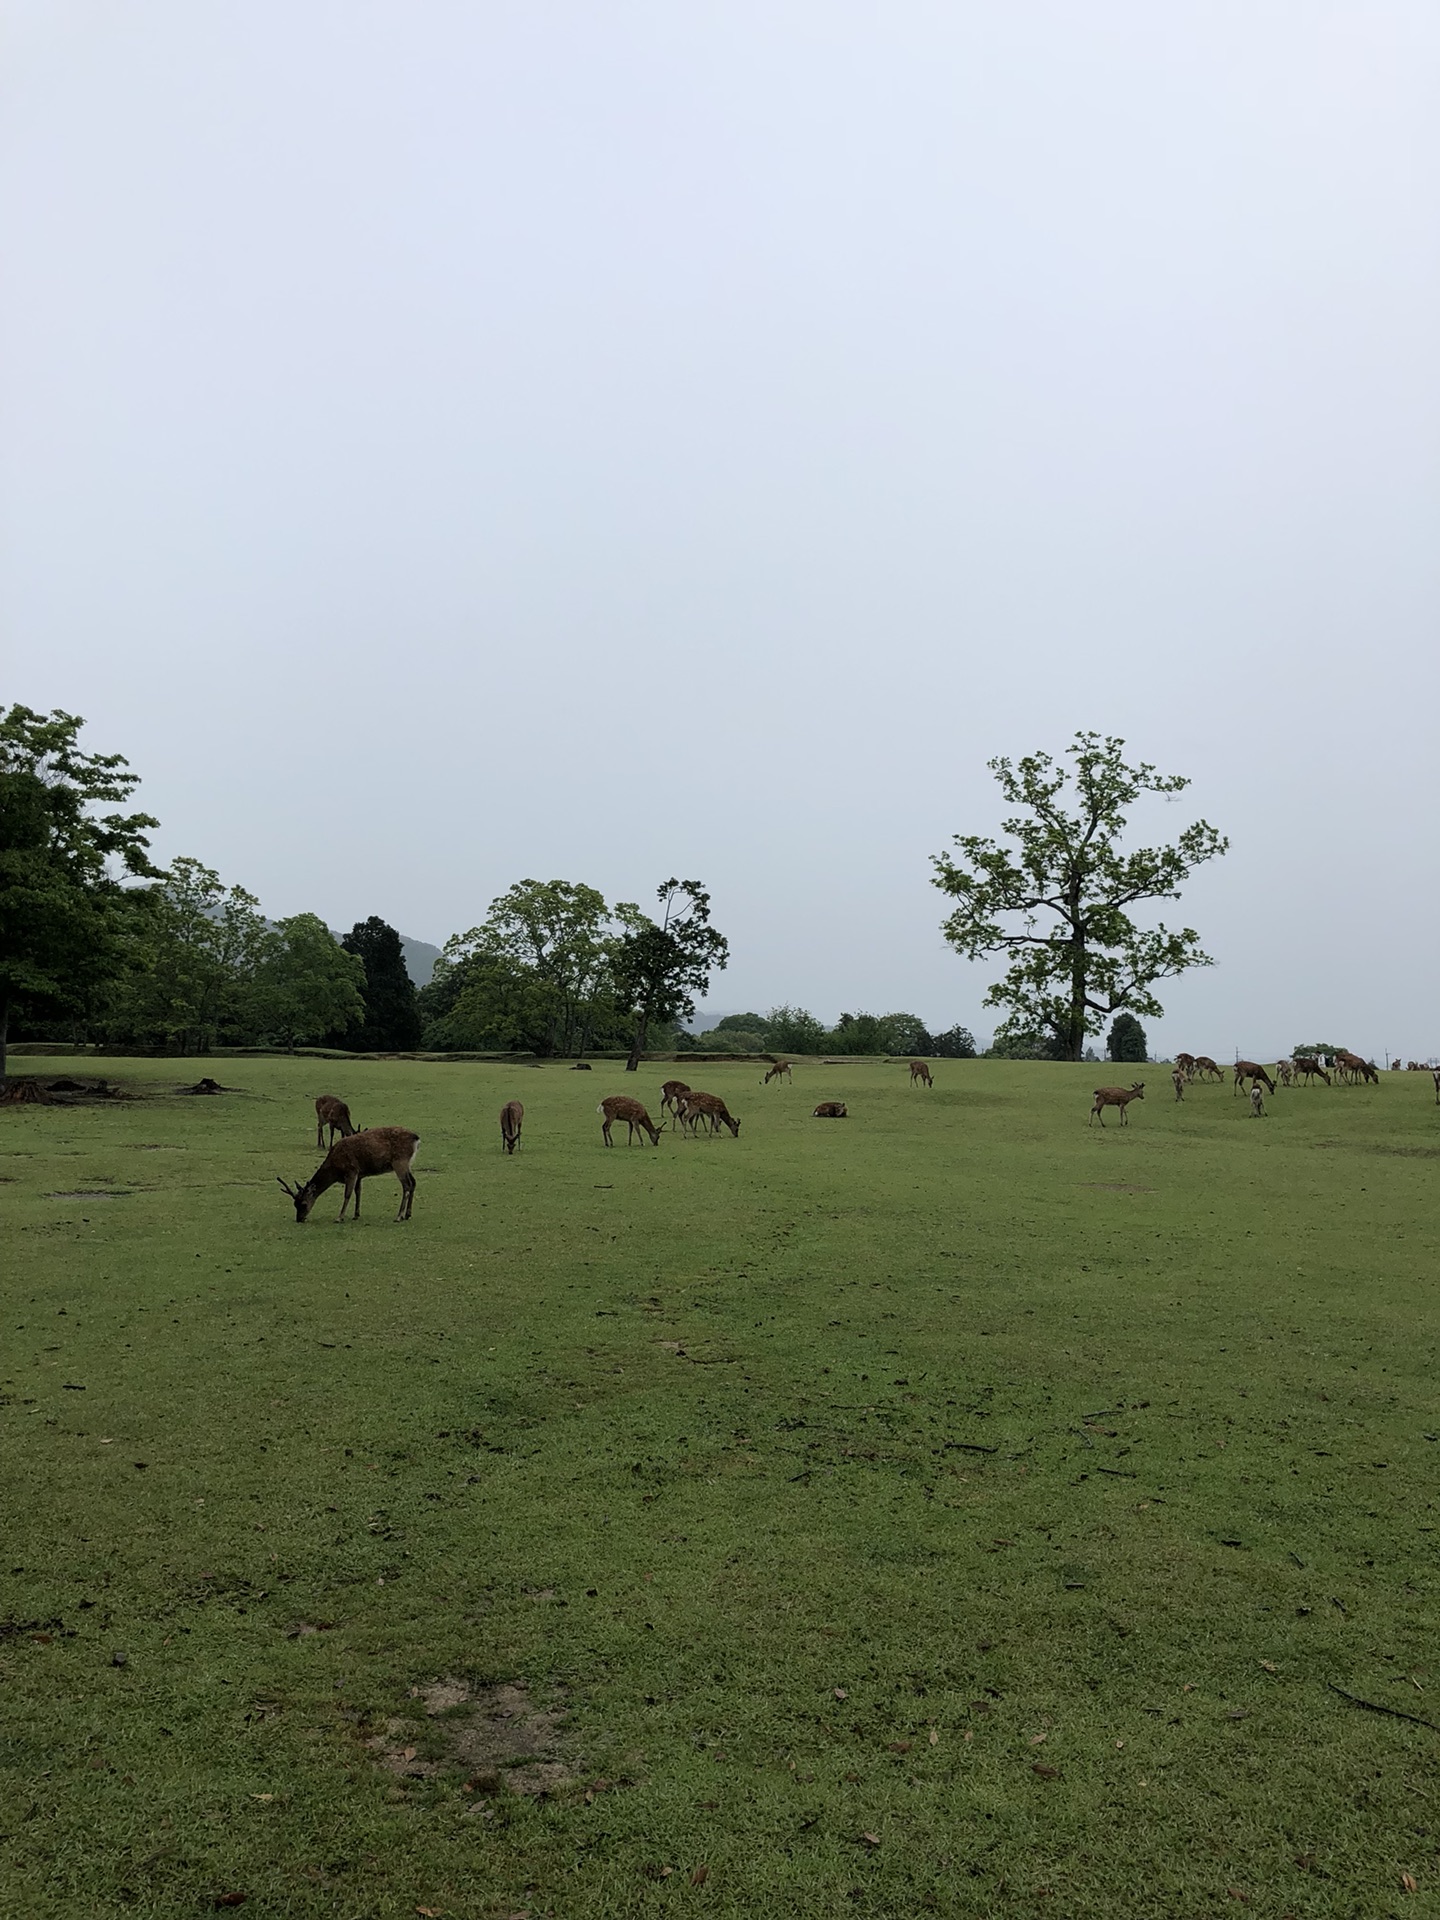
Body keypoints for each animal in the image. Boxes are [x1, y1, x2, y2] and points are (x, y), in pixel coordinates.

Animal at [278, 1128, 420, 1221]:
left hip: (399, 1162)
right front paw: (356, 1215)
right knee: (413, 1182)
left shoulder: (351, 1170)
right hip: (407, 1164)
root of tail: (416, 1138)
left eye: (303, 1204)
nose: (299, 1219)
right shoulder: (360, 1174)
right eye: (294, 1204)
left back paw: (399, 1216)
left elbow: (347, 1194)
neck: (335, 1170)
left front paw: (339, 1217)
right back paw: (408, 1214)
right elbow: (358, 1192)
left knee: (406, 1185)